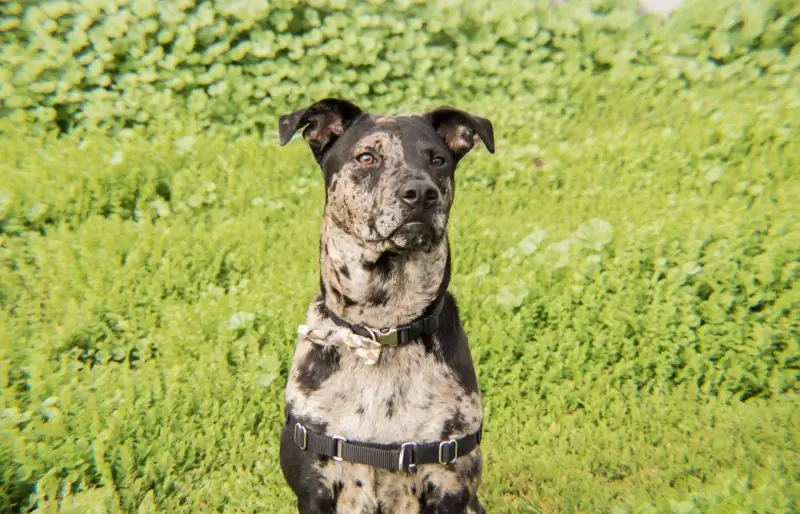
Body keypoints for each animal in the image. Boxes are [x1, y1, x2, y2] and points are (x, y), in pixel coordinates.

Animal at [276, 97, 494, 512]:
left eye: (437, 159)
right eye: (366, 157)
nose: (421, 193)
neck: (383, 328)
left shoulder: (451, 486)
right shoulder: (313, 487)